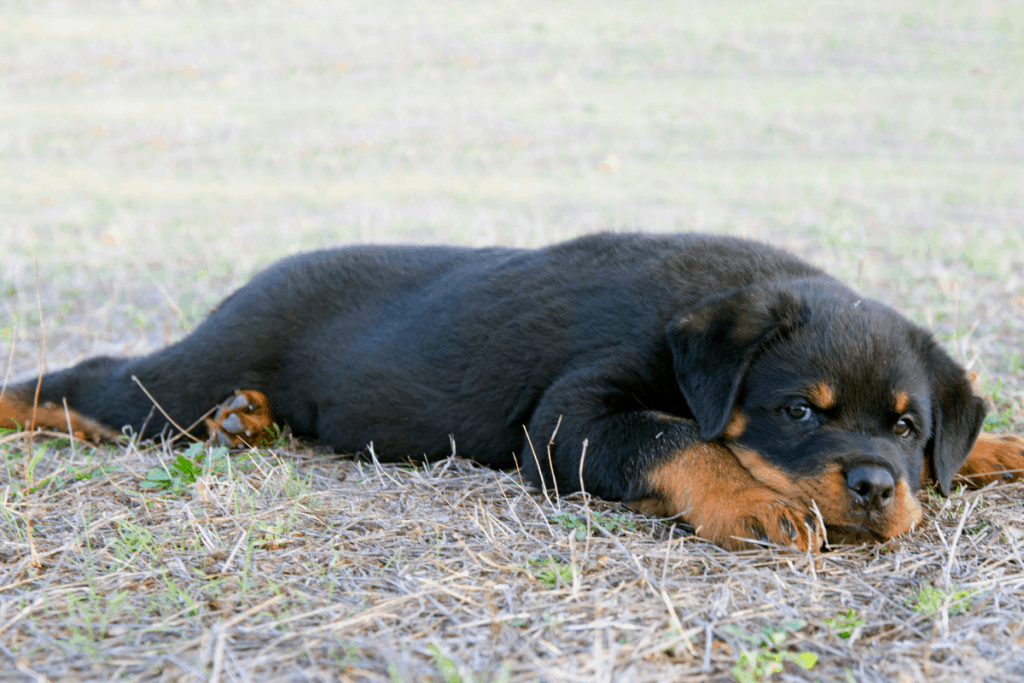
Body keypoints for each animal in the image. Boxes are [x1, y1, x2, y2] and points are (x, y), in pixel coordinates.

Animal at [2, 233, 1024, 548]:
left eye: (908, 428)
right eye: (799, 411)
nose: (877, 488)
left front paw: (997, 447)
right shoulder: (571, 415)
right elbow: (681, 435)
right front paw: (750, 499)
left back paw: (244, 424)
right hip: (178, 381)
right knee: (94, 384)